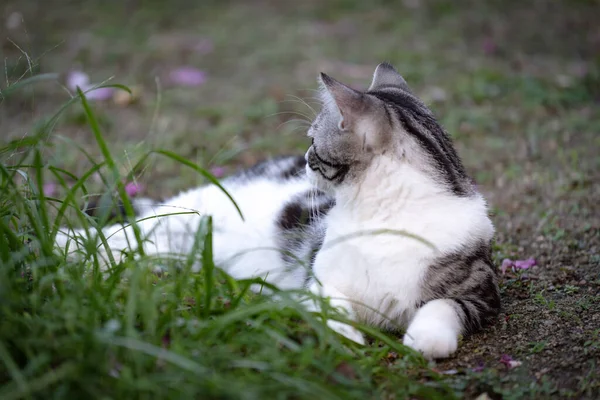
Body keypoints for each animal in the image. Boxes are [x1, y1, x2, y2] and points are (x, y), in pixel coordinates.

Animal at [56, 63, 500, 360]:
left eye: (313, 142)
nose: (303, 159)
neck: (382, 216)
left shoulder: (482, 294)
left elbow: (443, 307)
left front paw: (425, 341)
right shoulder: (318, 279)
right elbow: (332, 306)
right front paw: (344, 336)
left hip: (176, 248)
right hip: (190, 214)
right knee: (124, 229)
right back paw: (62, 244)